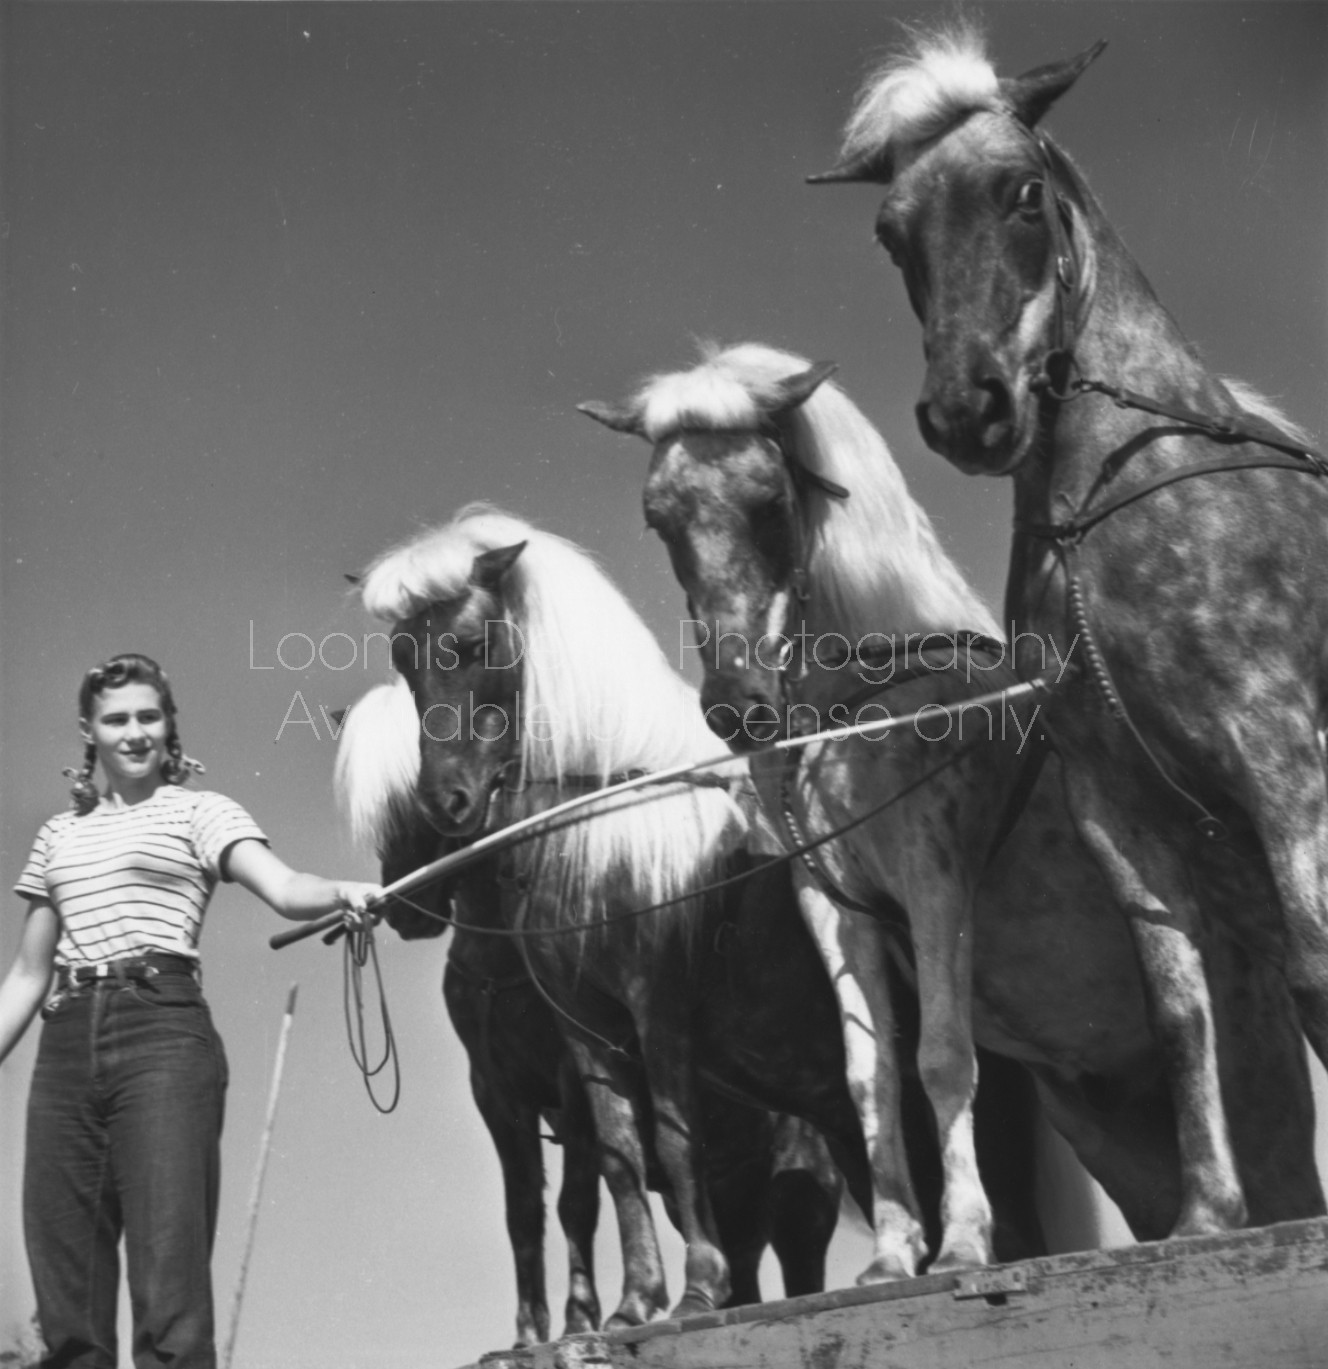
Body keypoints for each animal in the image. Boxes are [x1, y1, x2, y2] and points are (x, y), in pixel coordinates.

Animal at [583, 336, 1325, 1275]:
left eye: (769, 501)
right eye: (661, 518)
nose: (736, 707)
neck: (863, 698)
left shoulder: (934, 877)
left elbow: (941, 1055)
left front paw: (963, 1242)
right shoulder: (837, 907)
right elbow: (872, 1080)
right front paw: (894, 1252)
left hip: (1259, 1086)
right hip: (1115, 1132)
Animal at [810, 26, 1325, 1237]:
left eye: (1022, 194)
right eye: (891, 232)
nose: (968, 410)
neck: (1108, 506)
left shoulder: (1279, 756)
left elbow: (1322, 964)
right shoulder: (1117, 809)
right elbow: (1181, 1010)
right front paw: (1207, 1216)